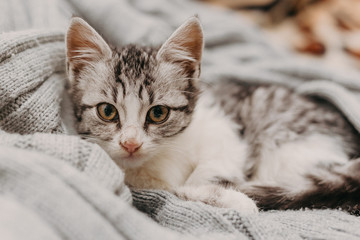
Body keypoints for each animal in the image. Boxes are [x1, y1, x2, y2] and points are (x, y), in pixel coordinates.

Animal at [65, 17, 360, 215]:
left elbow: (199, 177)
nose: (131, 144)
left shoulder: (226, 130)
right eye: (107, 111)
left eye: (158, 113)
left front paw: (225, 195)